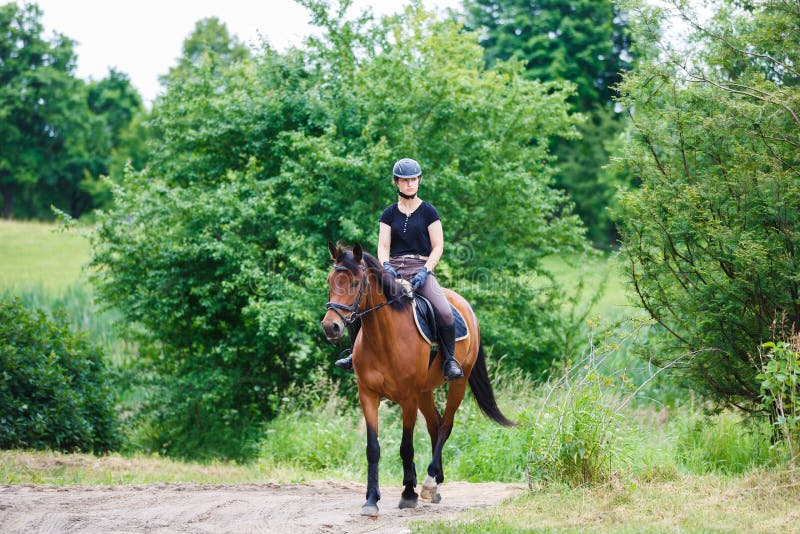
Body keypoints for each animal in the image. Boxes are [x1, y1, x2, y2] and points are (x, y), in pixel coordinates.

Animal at [320, 242, 515, 517]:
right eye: (330, 280)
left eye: (355, 283)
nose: (331, 327)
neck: (383, 338)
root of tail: (464, 305)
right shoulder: (368, 395)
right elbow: (373, 448)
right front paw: (371, 500)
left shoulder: (408, 398)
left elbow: (406, 446)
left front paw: (408, 493)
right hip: (425, 390)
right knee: (435, 425)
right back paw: (437, 485)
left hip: (458, 382)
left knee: (445, 426)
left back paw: (430, 482)